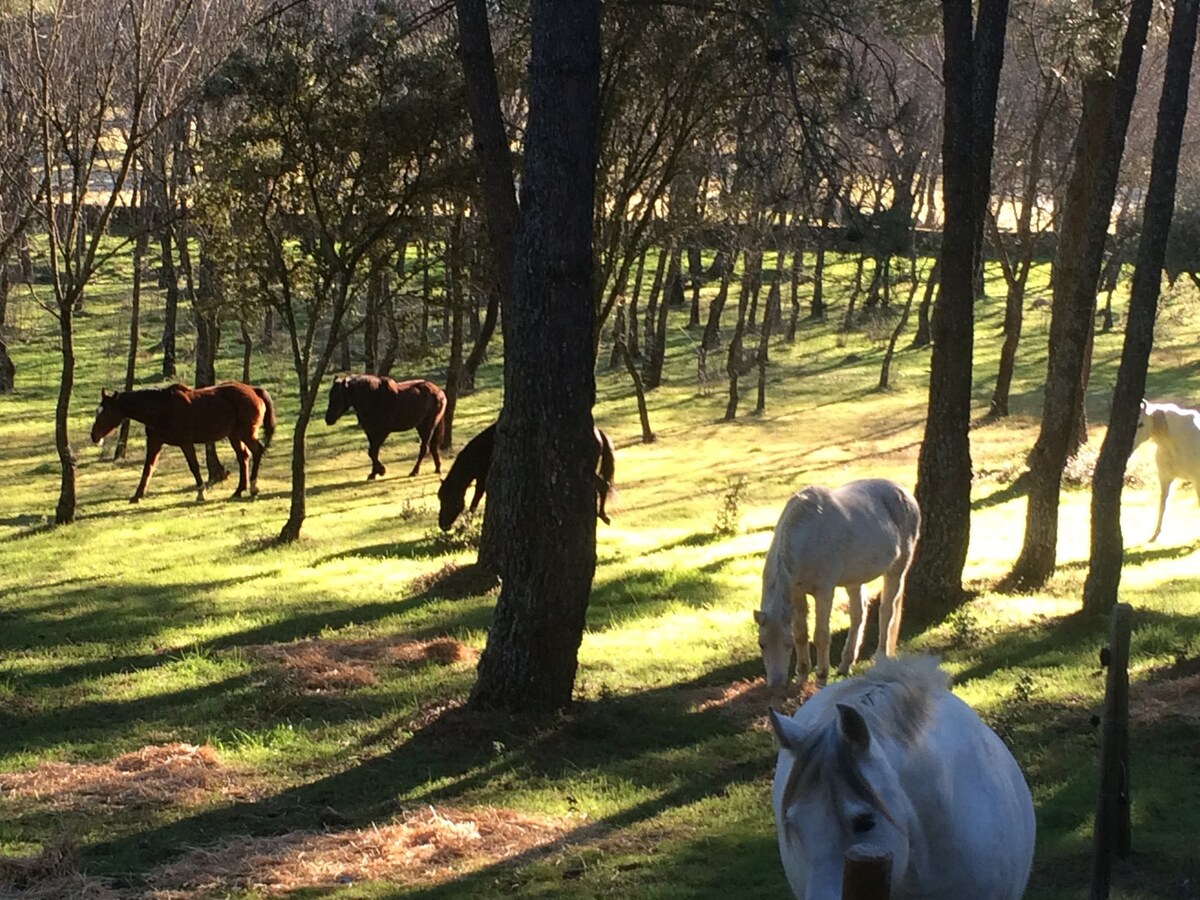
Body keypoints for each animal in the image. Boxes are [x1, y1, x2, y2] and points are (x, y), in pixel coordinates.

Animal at [90, 381, 276, 504]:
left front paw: (200, 494)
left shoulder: (186, 443)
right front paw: (137, 496)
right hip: (234, 435)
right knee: (243, 456)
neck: (162, 408)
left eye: (106, 412)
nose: (94, 436)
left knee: (257, 451)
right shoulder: (155, 443)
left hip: (246, 433)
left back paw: (253, 487)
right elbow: (148, 468)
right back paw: (239, 490)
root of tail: (254, 390)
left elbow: (194, 467)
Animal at [436, 422, 614, 528]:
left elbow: (475, 500)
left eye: (449, 499)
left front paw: (464, 526)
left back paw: (603, 516)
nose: (442, 525)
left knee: (603, 486)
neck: (480, 451)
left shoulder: (482, 478)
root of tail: (598, 432)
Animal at [753, 480, 921, 696]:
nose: (775, 685)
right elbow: (801, 633)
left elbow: (821, 635)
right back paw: (845, 664)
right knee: (858, 614)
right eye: (762, 644)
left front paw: (821, 678)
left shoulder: (824, 592)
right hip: (854, 580)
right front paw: (801, 676)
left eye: (787, 644)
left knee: (886, 612)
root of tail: (904, 492)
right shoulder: (797, 594)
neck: (808, 533)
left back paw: (880, 658)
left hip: (896, 571)